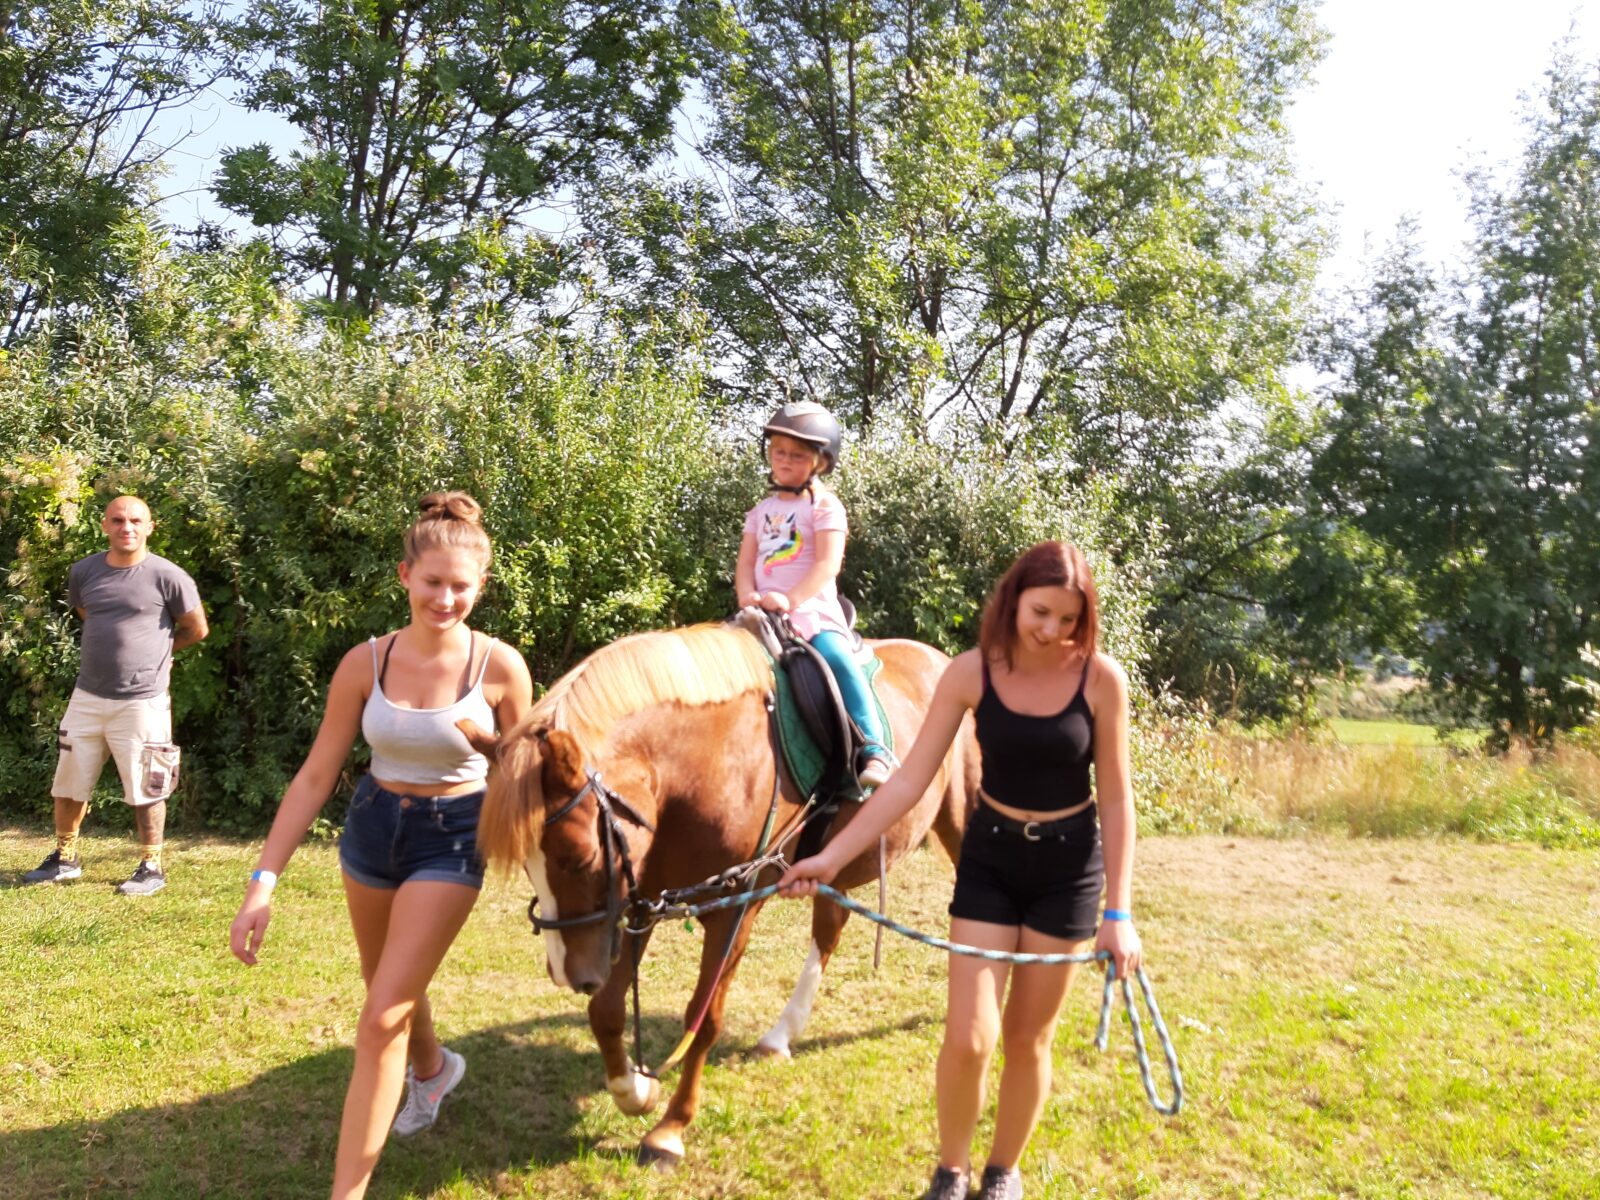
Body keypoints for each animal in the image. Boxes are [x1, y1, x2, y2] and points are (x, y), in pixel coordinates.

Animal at [471, 622, 978, 1166]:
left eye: (578, 857)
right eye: (529, 866)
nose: (569, 973)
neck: (703, 770)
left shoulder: (736, 909)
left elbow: (704, 1017)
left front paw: (670, 1130)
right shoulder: (639, 900)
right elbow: (605, 1010)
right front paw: (636, 1088)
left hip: (965, 818)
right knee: (828, 930)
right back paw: (781, 1035)